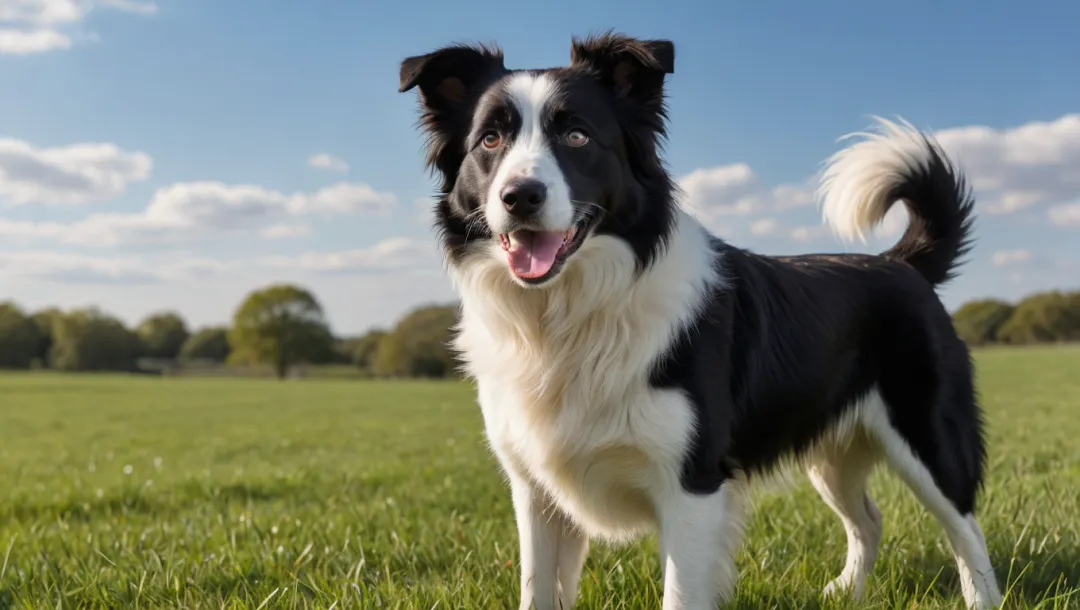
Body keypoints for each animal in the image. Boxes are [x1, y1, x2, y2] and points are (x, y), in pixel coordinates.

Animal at [397, 33, 1002, 608]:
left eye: (577, 137)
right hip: (833, 451)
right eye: (489, 141)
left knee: (967, 530)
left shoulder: (691, 485)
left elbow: (682, 593)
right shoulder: (535, 489)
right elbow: (537, 589)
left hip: (929, 436)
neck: (566, 314)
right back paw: (845, 592)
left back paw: (982, 598)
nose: (519, 196)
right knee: (869, 520)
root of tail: (901, 263)